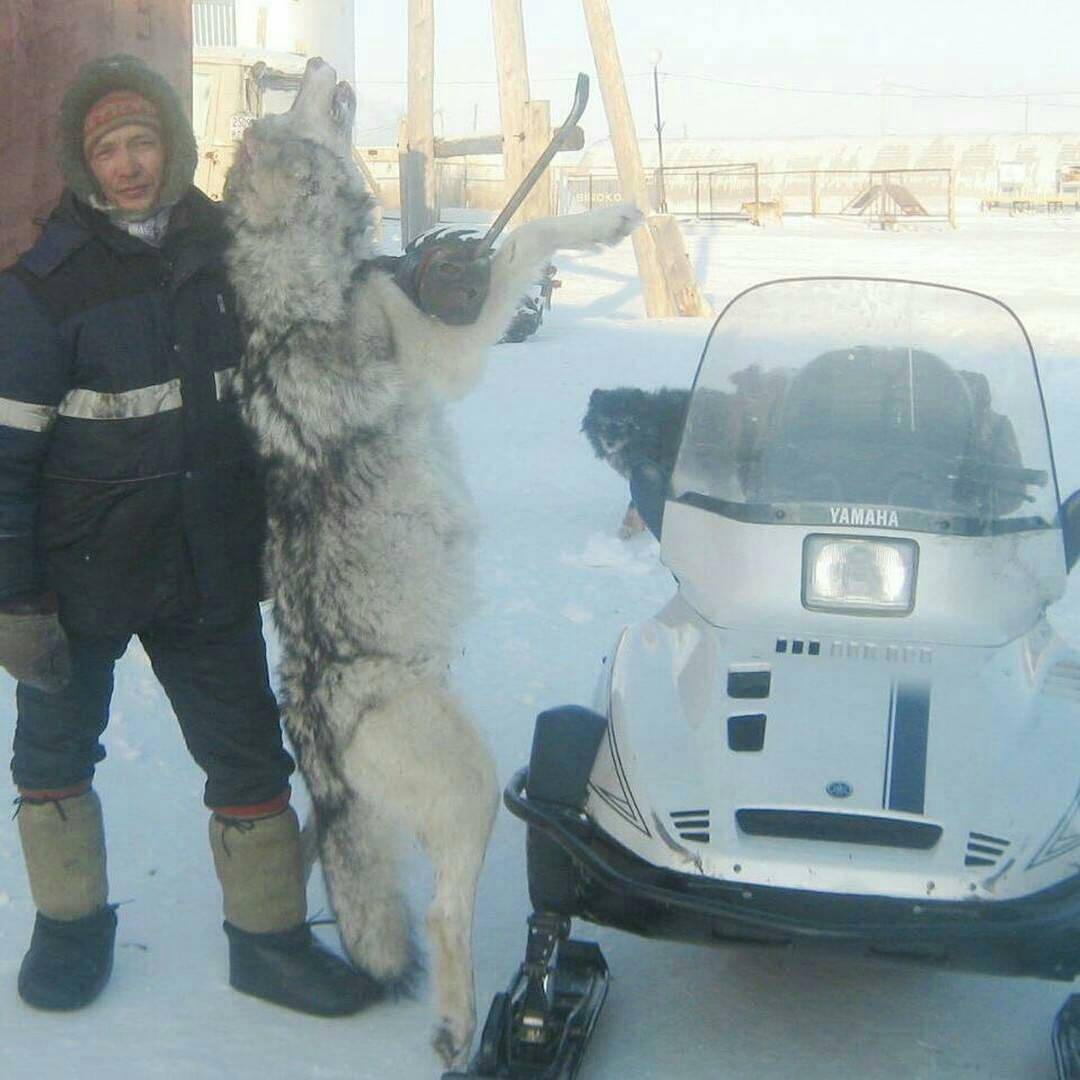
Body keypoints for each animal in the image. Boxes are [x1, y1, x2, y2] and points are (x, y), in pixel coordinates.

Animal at [220, 56, 639, 1062]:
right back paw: (462, 1027)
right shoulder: (449, 352)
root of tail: (318, 735)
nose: (321, 61)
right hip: (477, 782)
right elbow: (527, 234)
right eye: (291, 104)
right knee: (448, 916)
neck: (305, 286)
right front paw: (606, 221)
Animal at [583, 388, 691, 540]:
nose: (610, 443)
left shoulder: (649, 473)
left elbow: (633, 506)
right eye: (603, 420)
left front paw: (628, 529)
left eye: (622, 422)